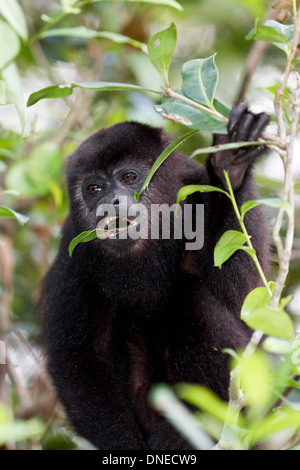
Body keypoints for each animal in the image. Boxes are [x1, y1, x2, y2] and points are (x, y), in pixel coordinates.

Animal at [39, 104, 270, 450]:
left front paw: (231, 165)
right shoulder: (74, 250)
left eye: (129, 177)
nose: (110, 202)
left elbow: (246, 307)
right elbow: (76, 357)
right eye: (94, 189)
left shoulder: (197, 193)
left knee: (191, 298)